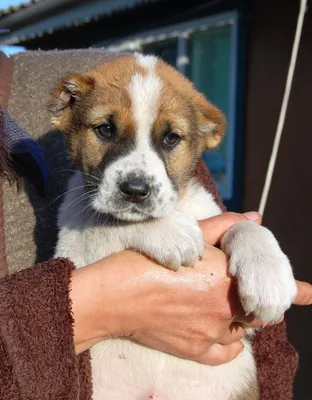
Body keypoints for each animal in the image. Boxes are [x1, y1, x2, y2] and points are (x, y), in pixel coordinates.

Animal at [51, 54, 298, 400]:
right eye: (105, 129)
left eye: (171, 138)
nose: (135, 190)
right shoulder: (75, 252)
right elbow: (104, 221)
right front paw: (170, 232)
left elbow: (247, 227)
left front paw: (269, 278)